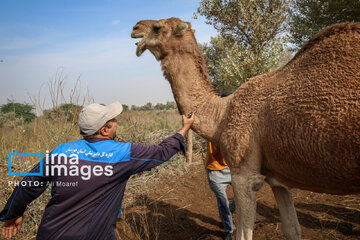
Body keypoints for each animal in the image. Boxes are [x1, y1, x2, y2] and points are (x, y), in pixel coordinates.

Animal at [131, 17, 360, 240]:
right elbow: (292, 229)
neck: (222, 115)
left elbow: (243, 234)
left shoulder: (245, 174)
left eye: (157, 27)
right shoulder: (278, 178)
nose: (135, 28)